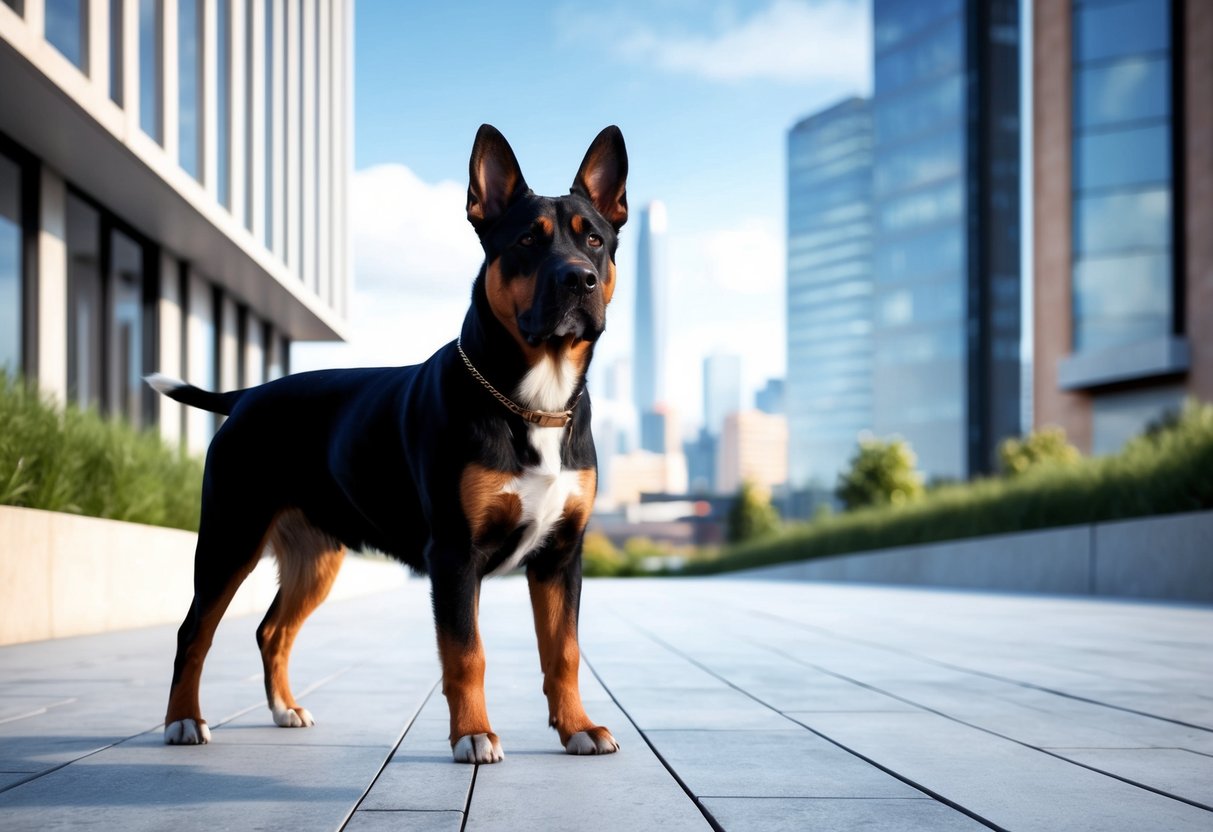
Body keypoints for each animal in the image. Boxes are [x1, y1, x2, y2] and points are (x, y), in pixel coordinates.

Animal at [146, 122, 630, 761]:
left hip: (315, 555)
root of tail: (248, 396)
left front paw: (577, 726)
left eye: (594, 238)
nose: (578, 278)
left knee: (272, 629)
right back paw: (182, 721)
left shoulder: (561, 555)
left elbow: (564, 651)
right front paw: (473, 733)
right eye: (528, 239)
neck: (533, 401)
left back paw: (284, 709)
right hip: (231, 534)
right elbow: (466, 654)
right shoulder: (453, 554)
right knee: (193, 630)